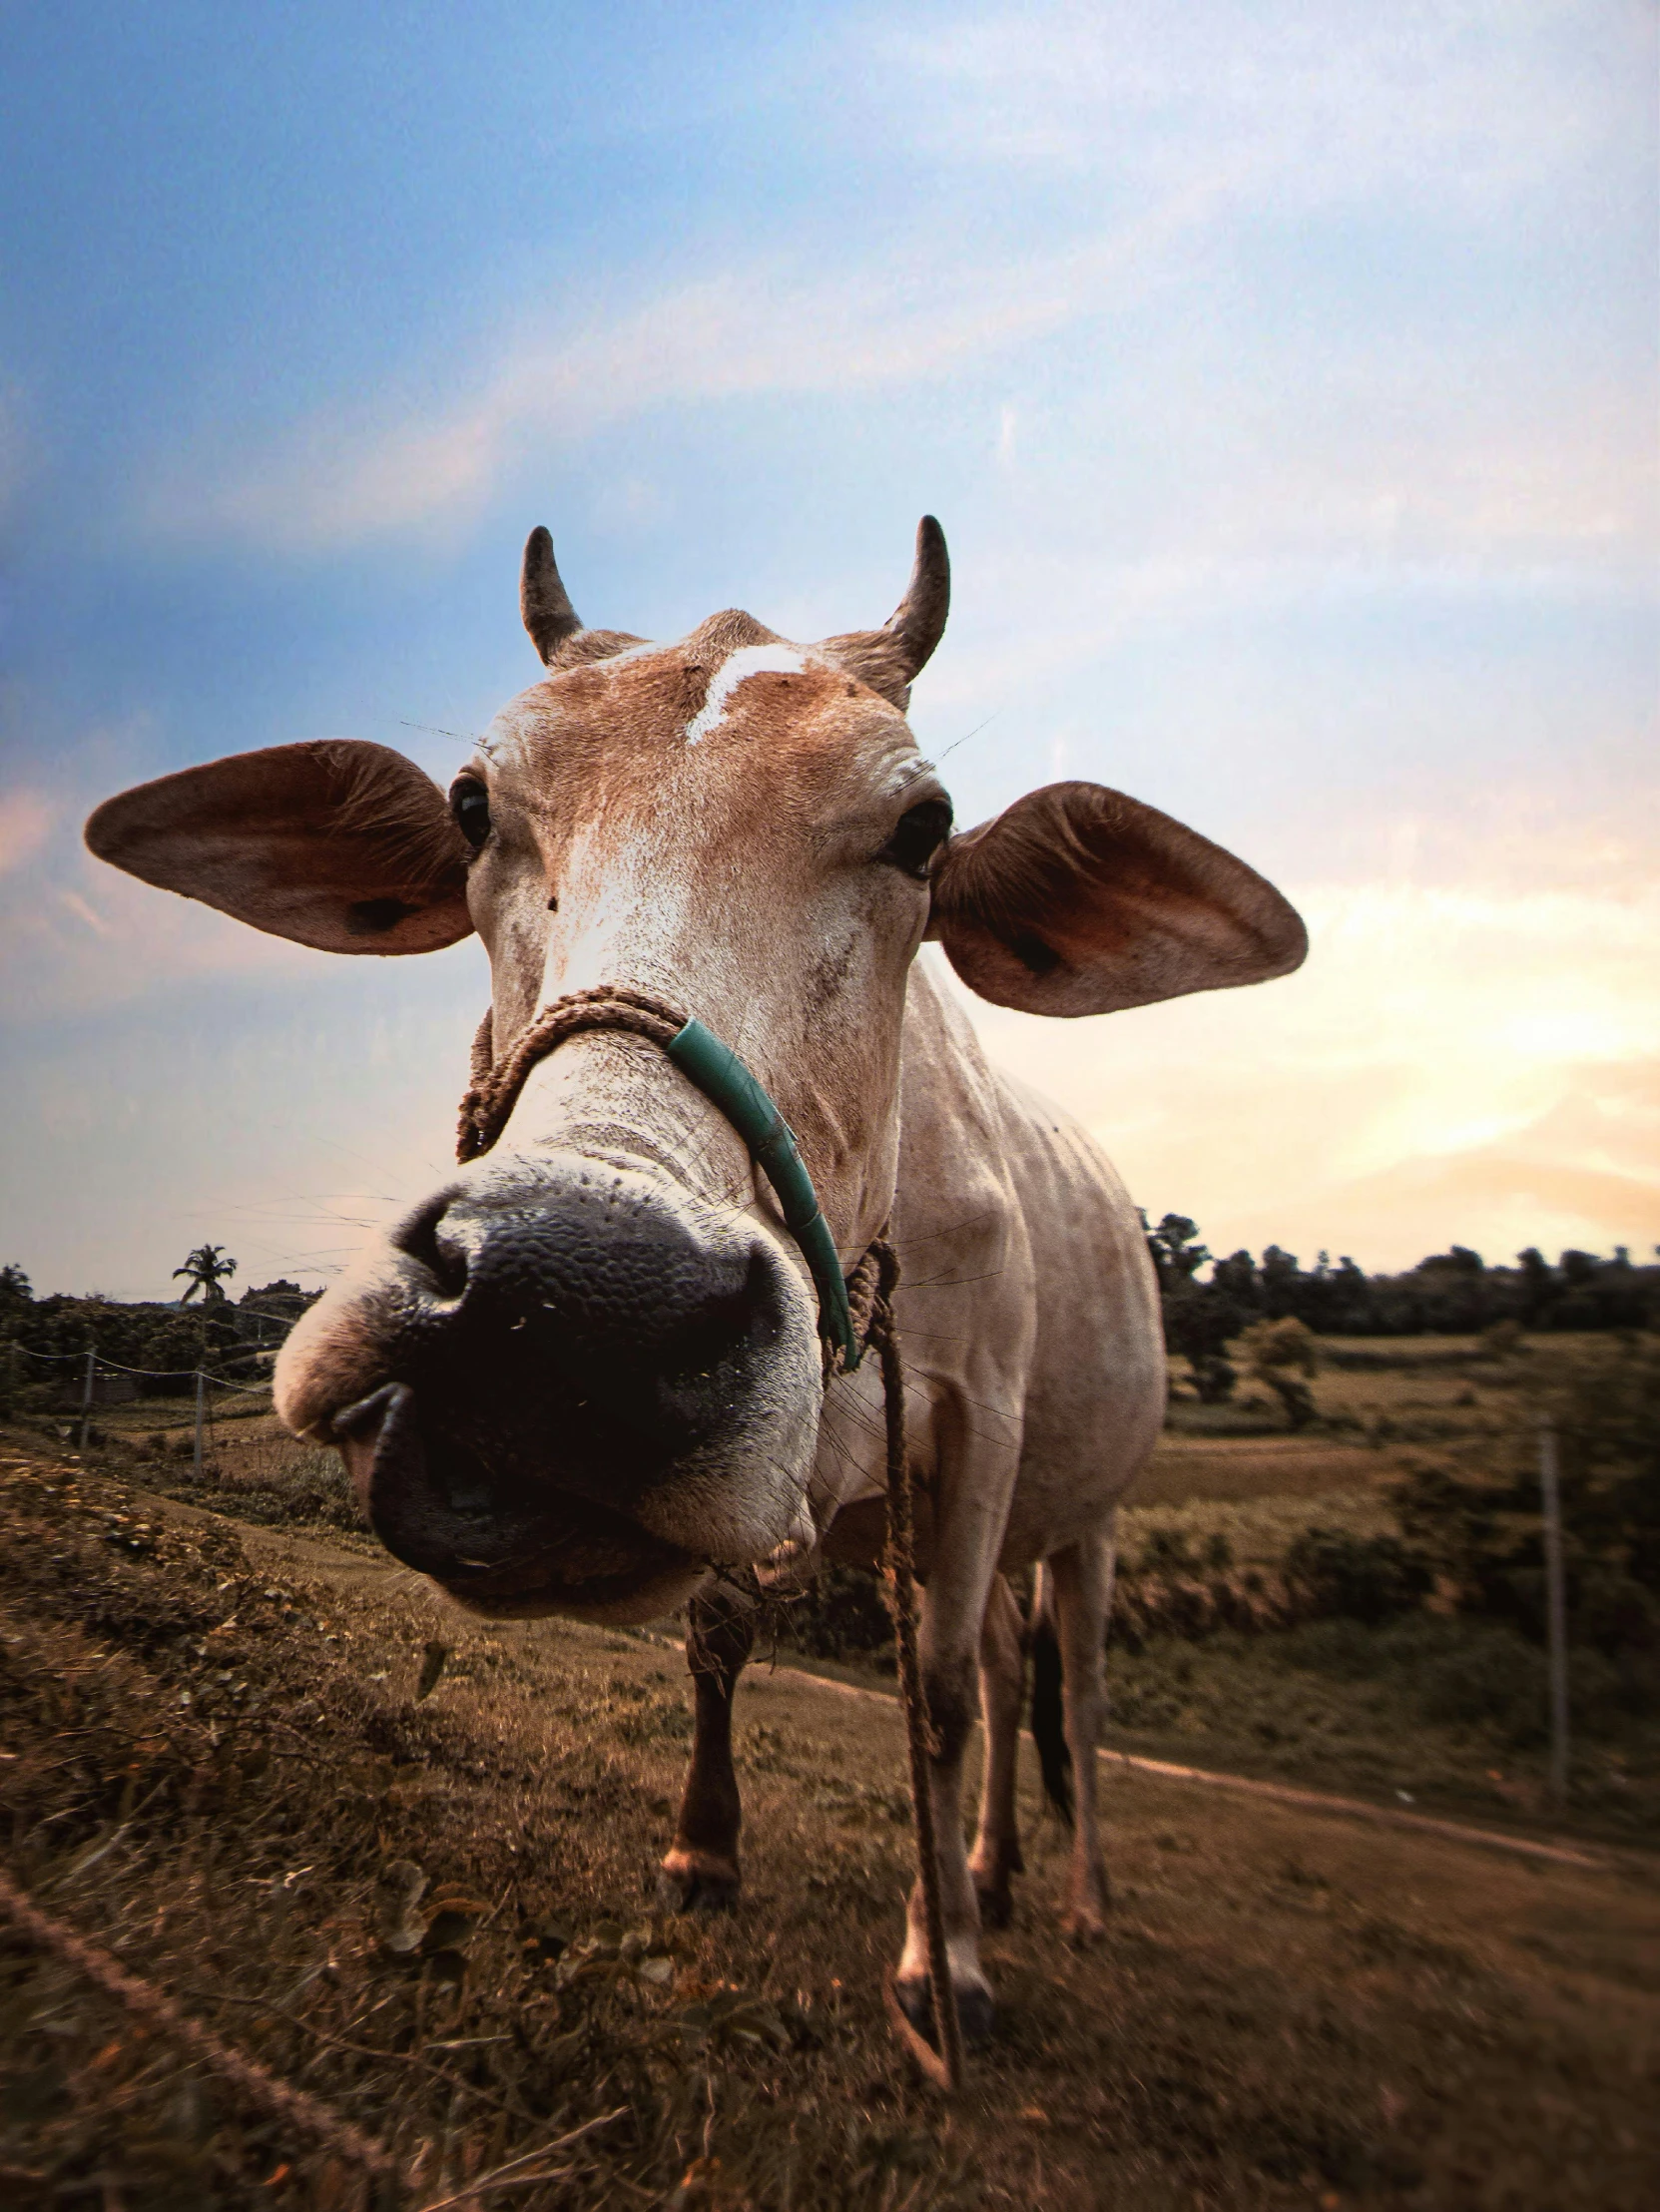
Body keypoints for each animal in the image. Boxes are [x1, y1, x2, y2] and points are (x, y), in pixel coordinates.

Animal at [88, 517, 1310, 2034]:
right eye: (474, 805)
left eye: (924, 830)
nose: (569, 1316)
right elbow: (724, 1636)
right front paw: (704, 1851)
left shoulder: (979, 1427)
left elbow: (938, 1693)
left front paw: (944, 1964)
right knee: (1011, 1659)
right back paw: (995, 1871)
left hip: (1091, 1511)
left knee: (1060, 1685)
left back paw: (1066, 1898)